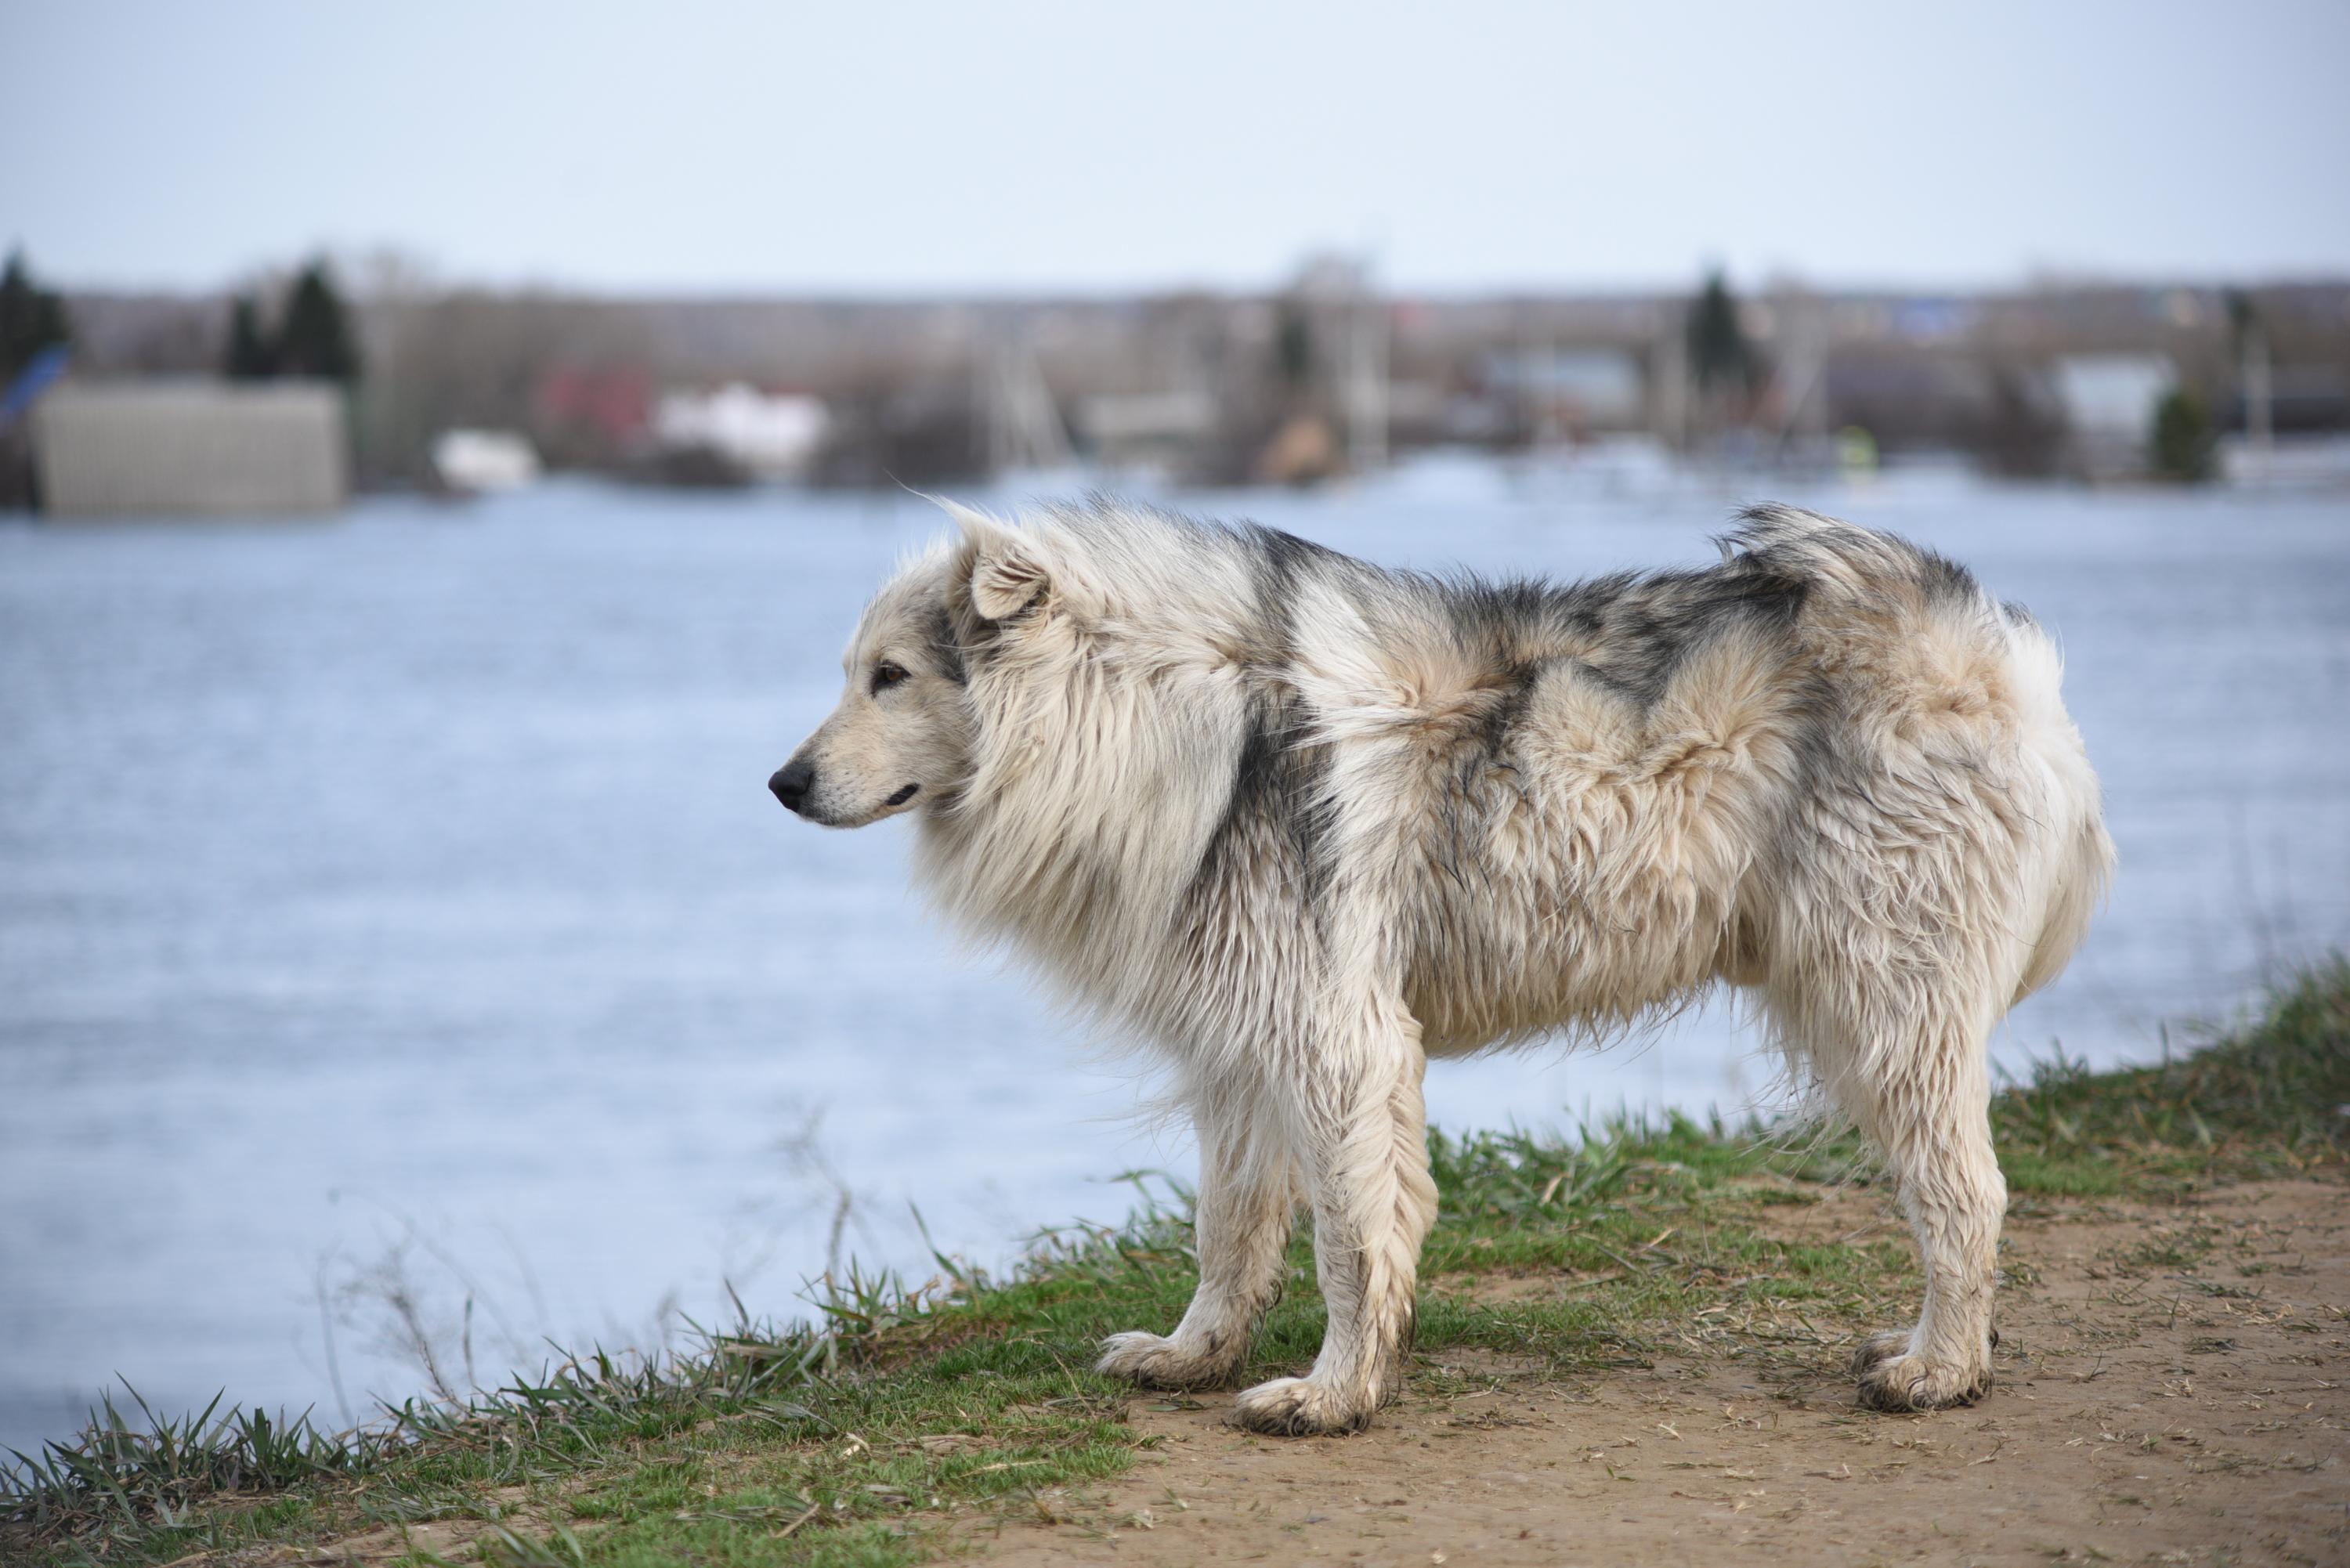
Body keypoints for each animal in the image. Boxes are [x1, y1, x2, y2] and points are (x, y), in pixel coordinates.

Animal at [776, 503, 2115, 1438]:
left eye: (890, 675)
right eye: (856, 670)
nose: (784, 785)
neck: (1157, 711)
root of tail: (2003, 661)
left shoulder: (1337, 1034)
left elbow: (1352, 1232)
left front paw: (1333, 1395)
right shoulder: (1240, 1043)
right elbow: (1229, 1226)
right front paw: (1197, 1353)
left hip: (1883, 998)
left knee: (1966, 1191)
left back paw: (1940, 1369)